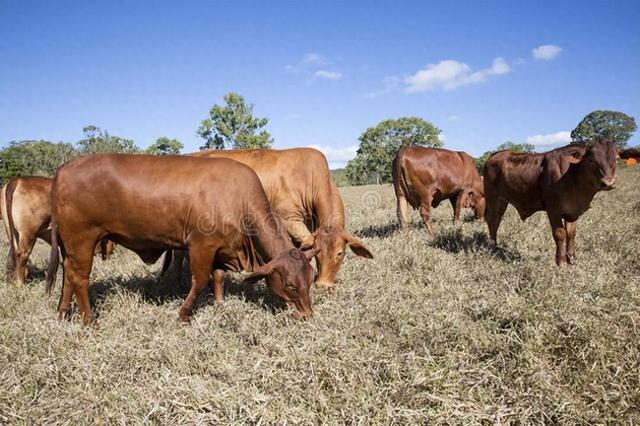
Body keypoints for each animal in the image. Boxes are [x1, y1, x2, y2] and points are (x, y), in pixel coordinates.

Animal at [45, 155, 318, 324]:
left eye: (311, 278)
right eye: (290, 284)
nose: (306, 314)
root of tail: (62, 171)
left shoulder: (221, 248)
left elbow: (218, 276)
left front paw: (220, 304)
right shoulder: (200, 247)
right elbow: (199, 281)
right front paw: (184, 314)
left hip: (72, 246)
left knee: (68, 272)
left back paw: (63, 312)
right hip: (82, 240)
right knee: (79, 277)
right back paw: (89, 319)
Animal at [488, 140, 616, 264]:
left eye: (616, 159)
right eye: (591, 159)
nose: (608, 183)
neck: (573, 173)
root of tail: (495, 155)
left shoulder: (572, 212)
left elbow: (571, 234)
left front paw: (572, 260)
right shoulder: (554, 209)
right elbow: (560, 233)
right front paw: (561, 261)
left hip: (503, 201)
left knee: (497, 221)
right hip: (493, 198)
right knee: (492, 221)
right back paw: (493, 247)